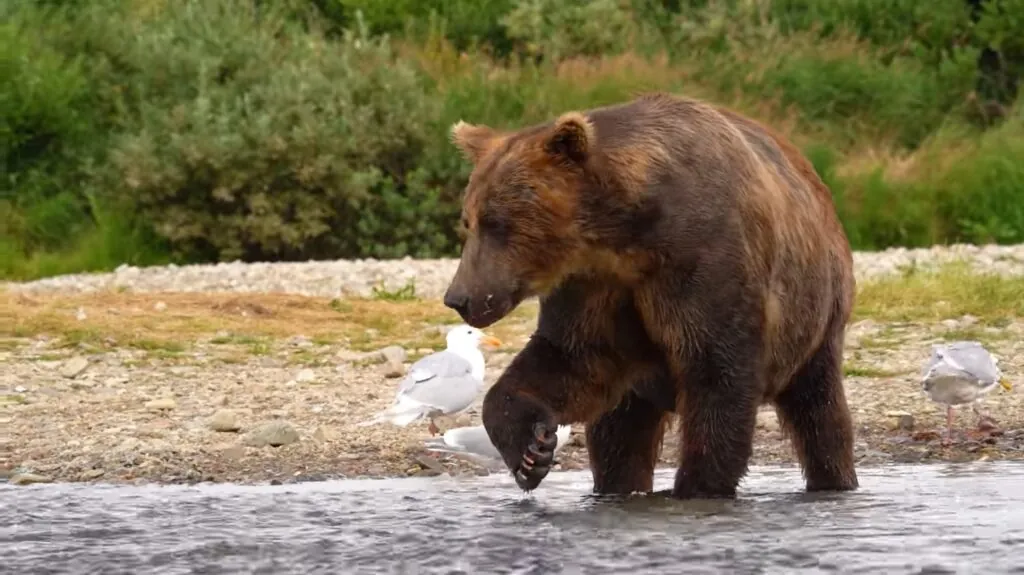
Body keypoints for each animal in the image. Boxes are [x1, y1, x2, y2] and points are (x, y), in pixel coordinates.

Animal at [444, 91, 860, 495]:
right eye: (469, 221)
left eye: (498, 223)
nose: (458, 298)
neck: (627, 236)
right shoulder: (595, 287)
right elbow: (568, 360)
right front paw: (532, 451)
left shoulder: (701, 263)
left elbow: (717, 375)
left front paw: (698, 484)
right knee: (620, 436)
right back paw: (617, 486)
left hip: (816, 314)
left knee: (818, 409)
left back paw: (833, 479)